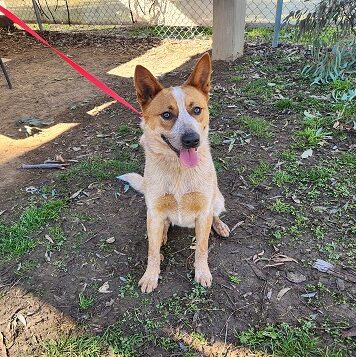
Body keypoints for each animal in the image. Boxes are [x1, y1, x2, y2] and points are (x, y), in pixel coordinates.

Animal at [119, 52, 229, 292]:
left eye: (196, 110)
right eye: (167, 114)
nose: (192, 140)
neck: (179, 170)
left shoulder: (203, 210)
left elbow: (202, 248)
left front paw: (202, 272)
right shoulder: (155, 211)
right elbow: (152, 251)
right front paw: (151, 276)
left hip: (217, 198)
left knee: (214, 214)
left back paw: (220, 225)